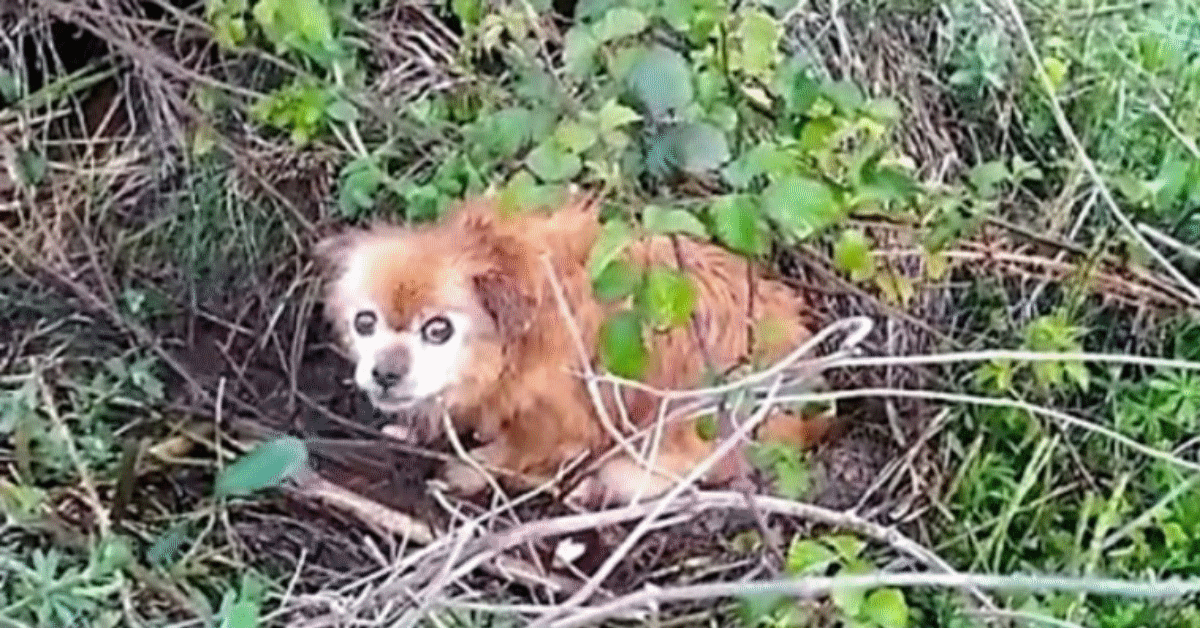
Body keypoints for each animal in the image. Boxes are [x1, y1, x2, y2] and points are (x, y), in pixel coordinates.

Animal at [314, 192, 840, 506]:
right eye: (365, 322)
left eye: (438, 330)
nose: (385, 373)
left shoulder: (560, 419)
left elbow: (514, 449)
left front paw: (469, 468)